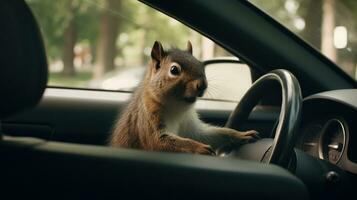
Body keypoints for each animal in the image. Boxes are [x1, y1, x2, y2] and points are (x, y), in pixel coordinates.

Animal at [110, 41, 258, 155]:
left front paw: (241, 134)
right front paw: (200, 148)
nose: (202, 85)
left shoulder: (190, 125)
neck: (177, 107)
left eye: (201, 65)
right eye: (174, 70)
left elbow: (210, 134)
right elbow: (159, 141)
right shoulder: (147, 119)